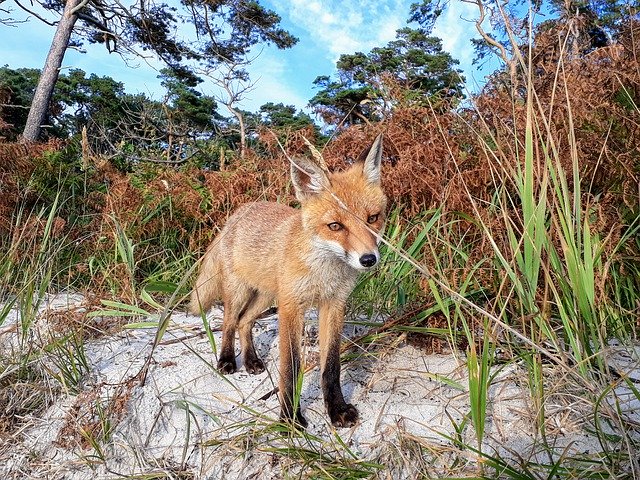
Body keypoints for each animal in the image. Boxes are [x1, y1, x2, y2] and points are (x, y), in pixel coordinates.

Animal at [189, 134, 390, 428]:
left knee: (244, 322)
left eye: (372, 219)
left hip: (266, 297)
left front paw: (336, 410)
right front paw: (289, 418)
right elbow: (290, 368)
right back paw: (227, 360)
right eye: (335, 226)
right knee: (229, 322)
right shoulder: (291, 307)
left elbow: (331, 366)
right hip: (241, 292)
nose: (368, 259)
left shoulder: (333, 305)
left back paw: (251, 361)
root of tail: (239, 212)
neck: (323, 272)